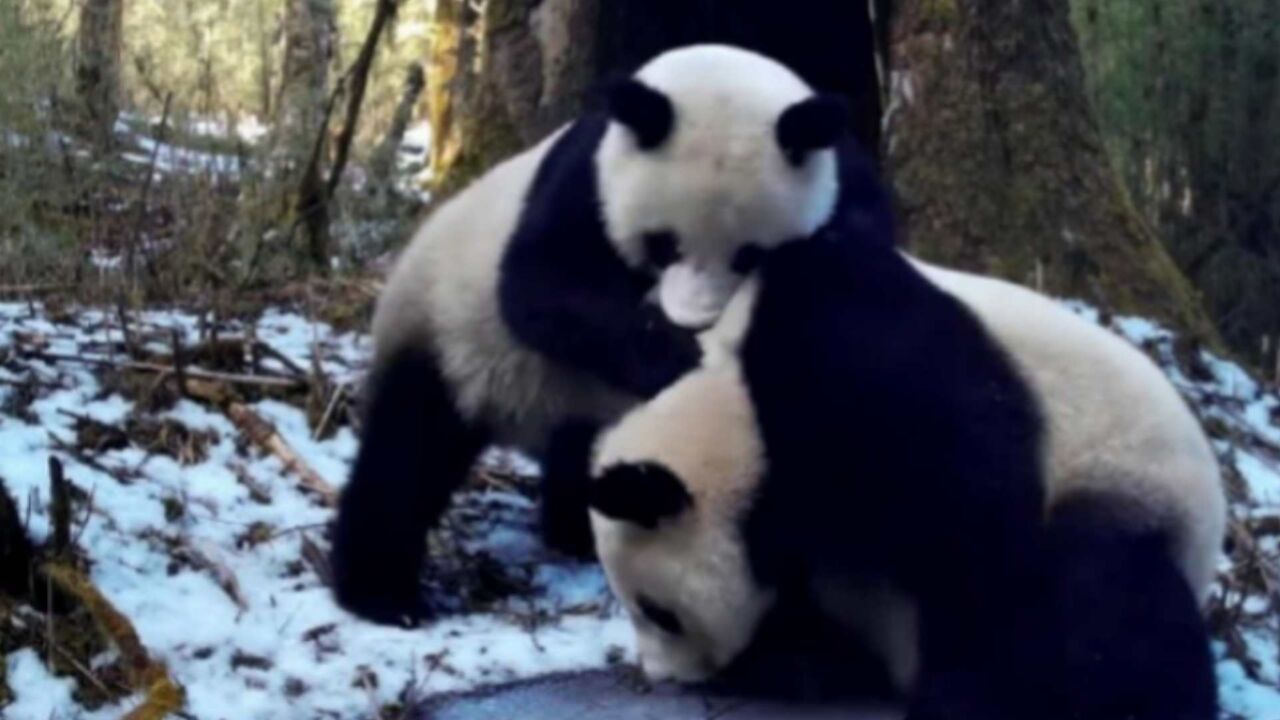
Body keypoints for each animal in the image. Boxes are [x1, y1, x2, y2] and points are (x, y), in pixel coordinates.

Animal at [330, 43, 890, 622]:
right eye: (663, 244)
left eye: (748, 255)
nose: (695, 320)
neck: (719, 73)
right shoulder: (585, 180)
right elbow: (541, 286)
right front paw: (677, 356)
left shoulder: (844, 185)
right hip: (446, 327)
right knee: (407, 453)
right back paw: (380, 592)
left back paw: (577, 530)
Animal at [586, 237, 1218, 717]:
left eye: (660, 613)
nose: (663, 677)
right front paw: (796, 662)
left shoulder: (861, 365)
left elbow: (978, 529)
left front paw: (963, 687)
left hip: (1133, 488)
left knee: (1102, 598)